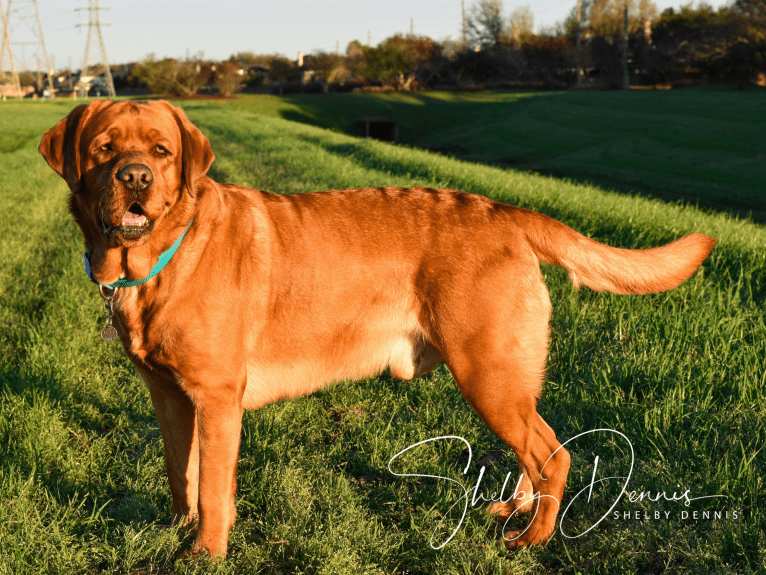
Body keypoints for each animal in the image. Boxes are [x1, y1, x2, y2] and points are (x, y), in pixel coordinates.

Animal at [40, 101, 712, 560]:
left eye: (160, 152)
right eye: (103, 149)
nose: (134, 179)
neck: (158, 260)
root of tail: (504, 211)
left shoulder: (218, 398)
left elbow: (212, 488)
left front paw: (206, 552)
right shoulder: (170, 397)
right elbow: (181, 476)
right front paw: (176, 533)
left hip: (486, 371)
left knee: (556, 454)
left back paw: (533, 538)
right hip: (508, 377)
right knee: (536, 448)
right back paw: (516, 510)